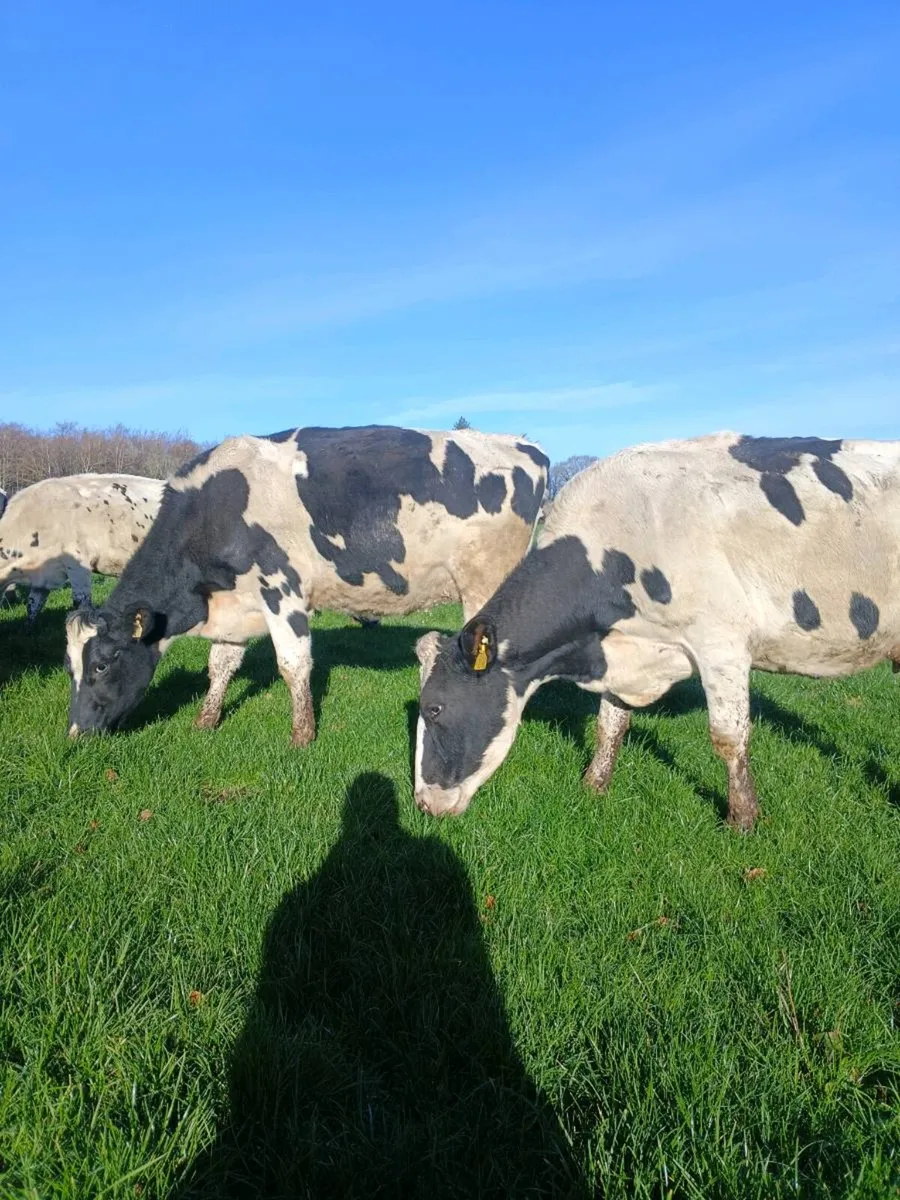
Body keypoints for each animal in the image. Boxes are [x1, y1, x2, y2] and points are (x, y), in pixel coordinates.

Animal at [65, 425, 549, 743]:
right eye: (70, 667)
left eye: (102, 664)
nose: (75, 731)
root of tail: (522, 444)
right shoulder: (235, 602)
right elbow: (221, 664)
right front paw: (206, 720)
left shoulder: (282, 589)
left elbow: (292, 664)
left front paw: (302, 734)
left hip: (486, 583)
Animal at [414, 432, 900, 830]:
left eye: (434, 708)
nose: (421, 803)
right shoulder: (621, 647)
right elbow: (610, 724)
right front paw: (594, 785)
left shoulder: (721, 643)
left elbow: (729, 736)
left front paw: (742, 819)